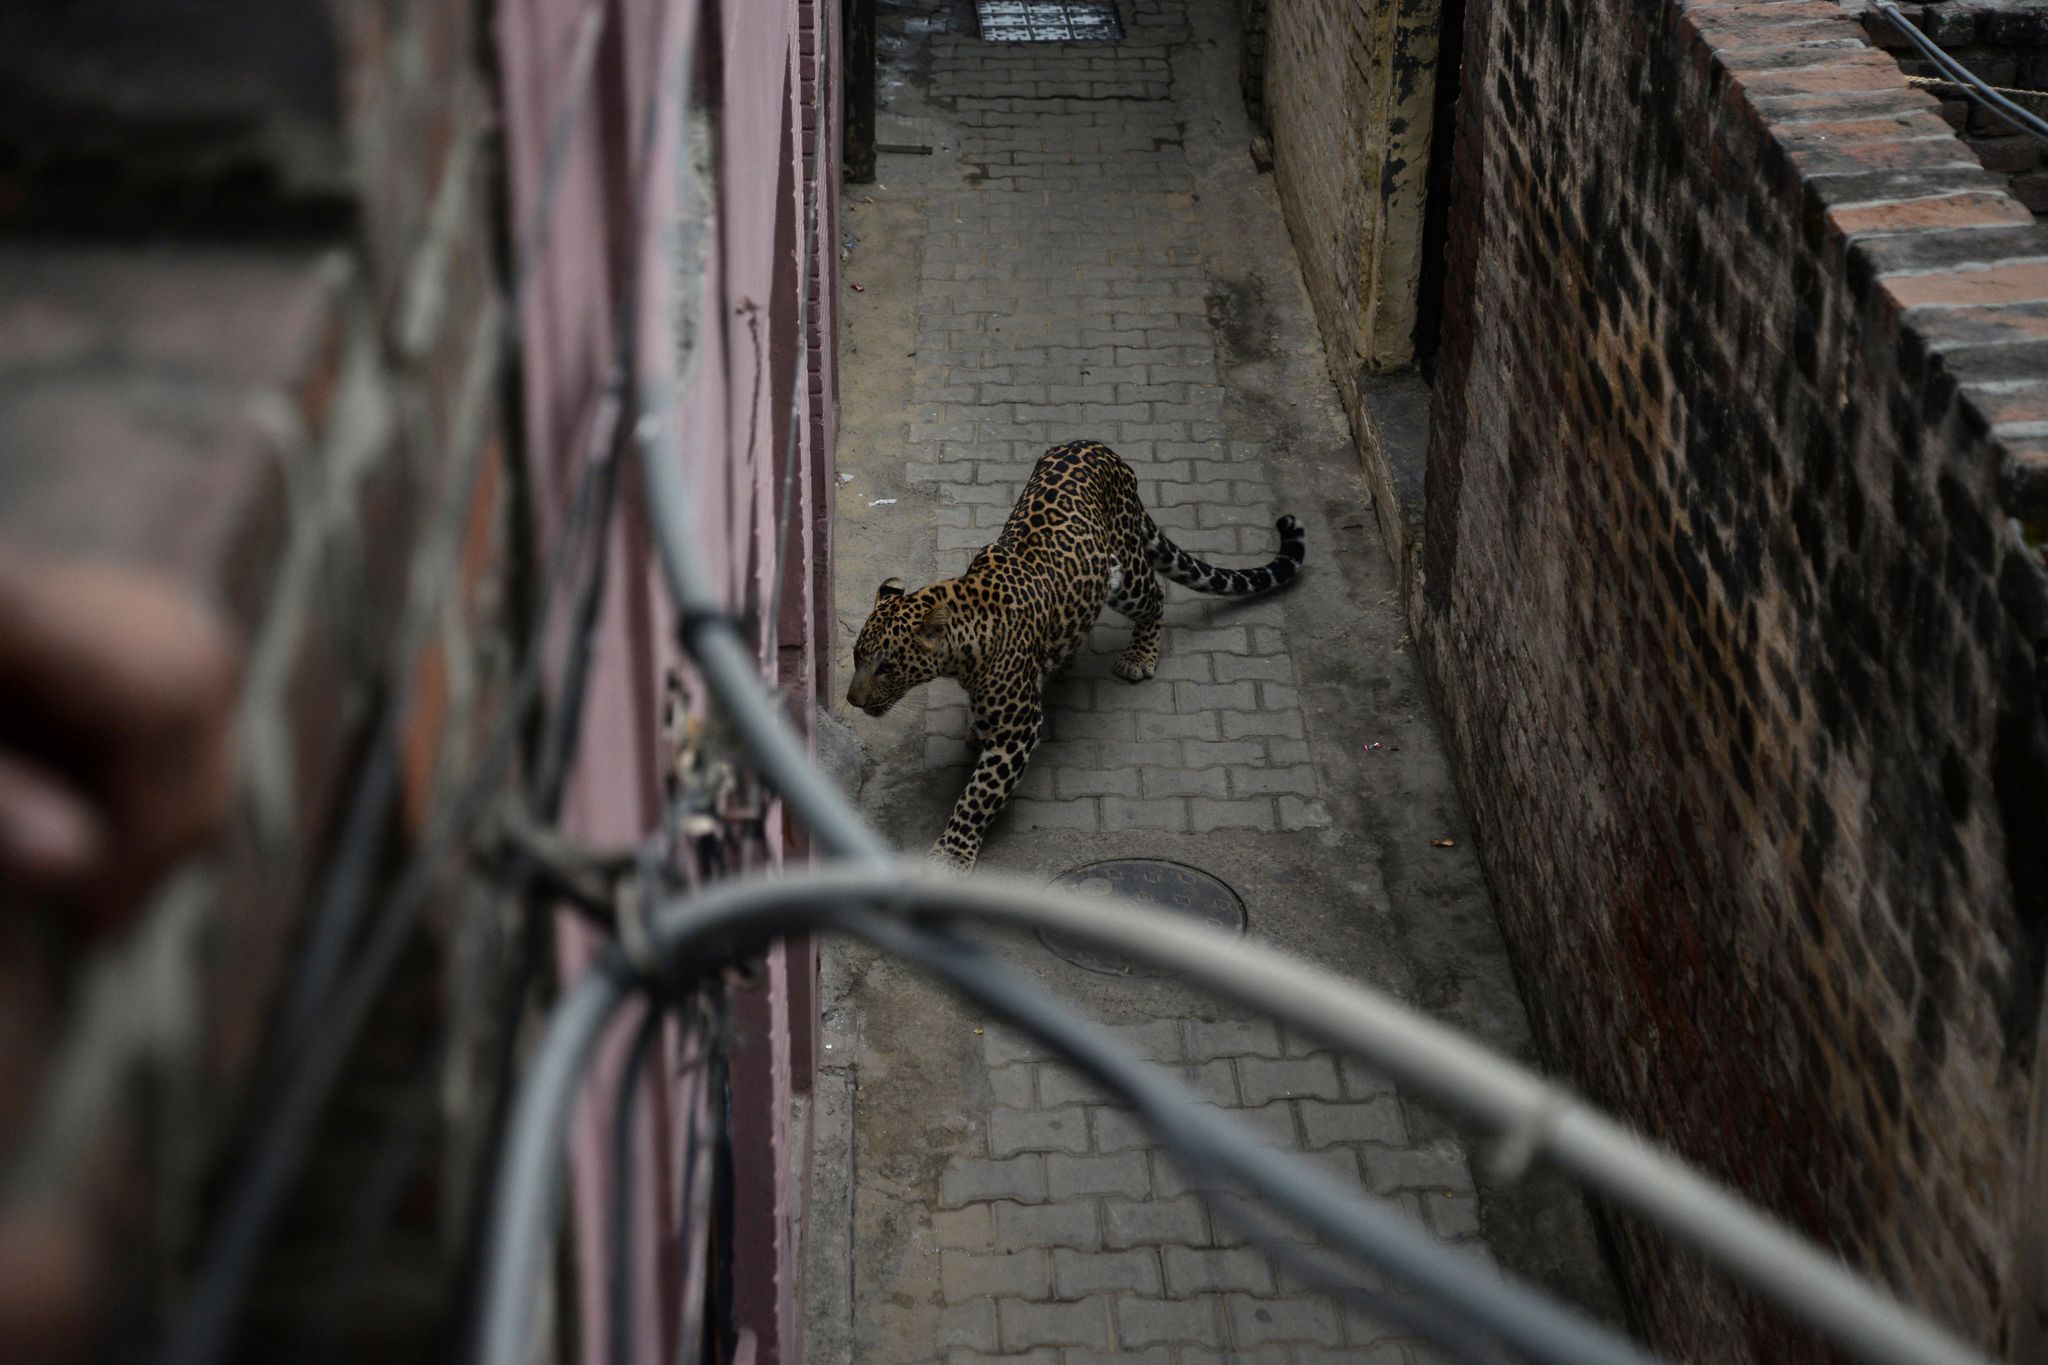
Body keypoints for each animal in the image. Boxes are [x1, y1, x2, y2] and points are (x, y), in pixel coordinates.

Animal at [846, 439, 1306, 871]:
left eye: (887, 667)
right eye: (855, 657)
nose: (852, 700)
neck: (964, 641)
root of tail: (1099, 447)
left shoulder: (1020, 728)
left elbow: (979, 794)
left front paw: (952, 854)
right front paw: (977, 727)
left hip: (1124, 575)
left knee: (1156, 595)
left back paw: (1139, 656)